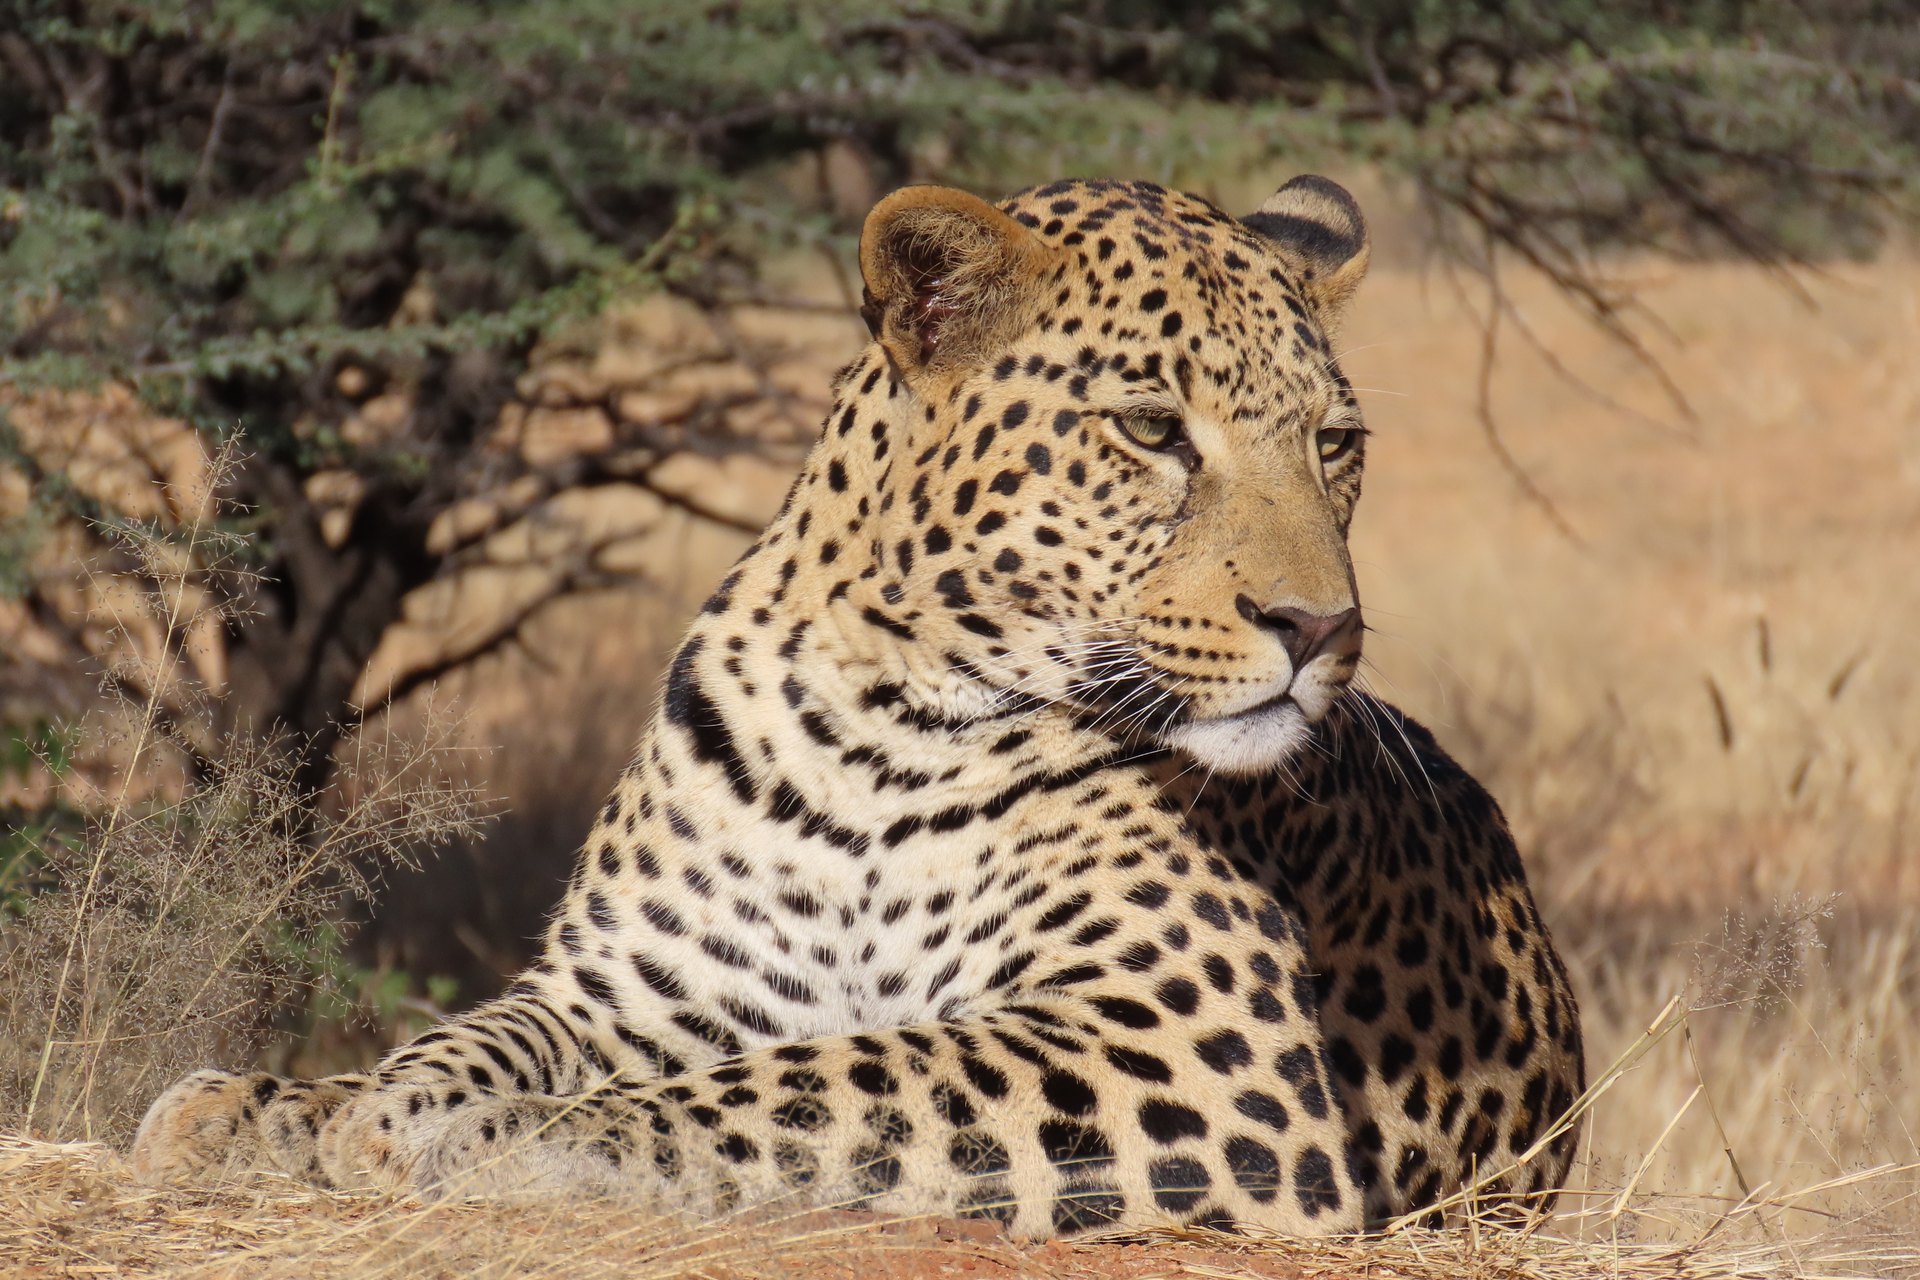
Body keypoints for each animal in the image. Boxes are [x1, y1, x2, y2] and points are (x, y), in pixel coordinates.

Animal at [131, 173, 1585, 1238]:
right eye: (1151, 432)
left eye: (1335, 446)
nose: (1319, 628)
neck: (875, 730)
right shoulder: (630, 982)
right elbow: (481, 1034)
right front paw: (344, 1109)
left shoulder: (1190, 1038)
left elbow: (818, 1079)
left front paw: (494, 1140)